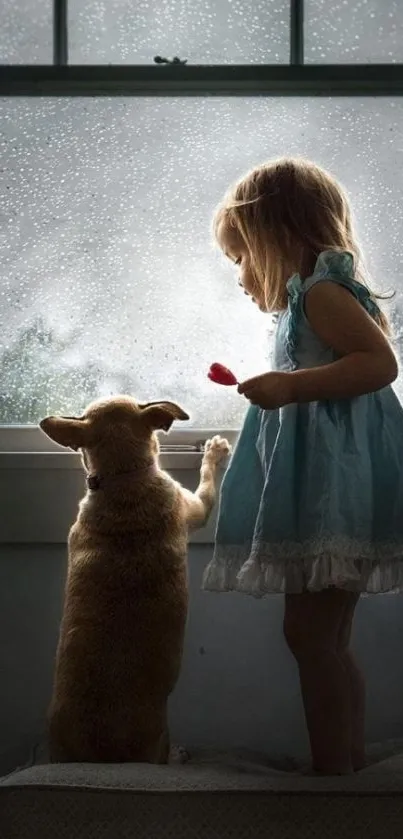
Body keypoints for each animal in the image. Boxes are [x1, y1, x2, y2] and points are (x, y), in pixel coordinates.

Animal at [40, 398, 230, 764]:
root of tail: (100, 754)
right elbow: (208, 482)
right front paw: (215, 452)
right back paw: (178, 756)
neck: (122, 477)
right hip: (159, 739)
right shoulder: (197, 507)